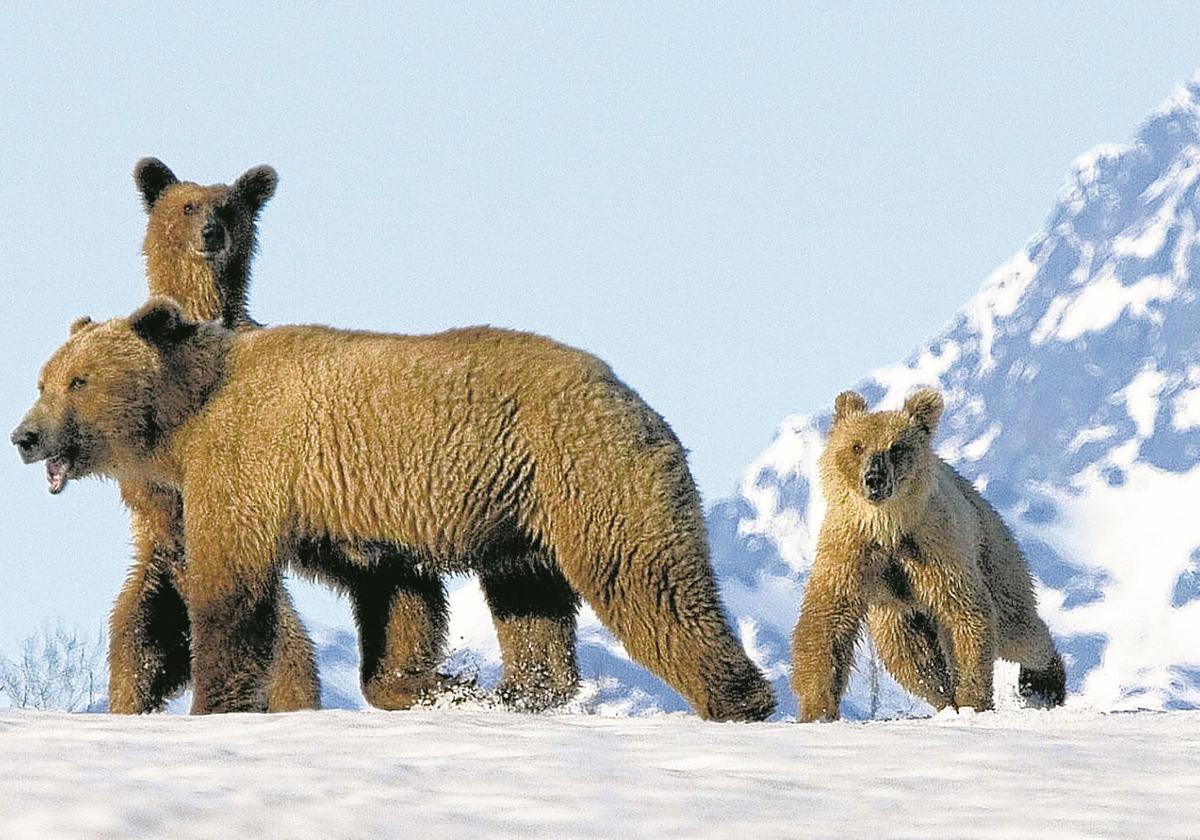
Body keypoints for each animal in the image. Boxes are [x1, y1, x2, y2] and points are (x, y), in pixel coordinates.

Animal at [16, 296, 777, 720]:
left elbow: (231, 589)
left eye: (77, 380)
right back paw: (521, 690)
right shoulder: (347, 514)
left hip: (585, 470)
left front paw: (217, 699)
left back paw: (742, 700)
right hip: (519, 512)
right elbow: (394, 599)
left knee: (647, 579)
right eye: (44, 378)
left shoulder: (249, 466)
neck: (183, 420)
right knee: (532, 607)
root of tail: (632, 396)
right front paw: (434, 683)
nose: (25, 435)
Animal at [126, 157, 580, 710]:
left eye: (229, 206)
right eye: (188, 205)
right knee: (137, 654)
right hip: (155, 590)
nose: (212, 233)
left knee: (292, 657)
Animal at [792, 388, 1065, 720]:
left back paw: (1042, 683)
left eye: (896, 447)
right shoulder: (851, 550)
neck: (889, 527)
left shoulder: (935, 549)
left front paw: (972, 699)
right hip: (897, 615)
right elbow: (826, 621)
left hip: (992, 551)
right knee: (909, 659)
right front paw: (817, 708)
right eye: (857, 446)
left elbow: (966, 614)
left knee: (1017, 629)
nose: (874, 479)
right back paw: (945, 698)